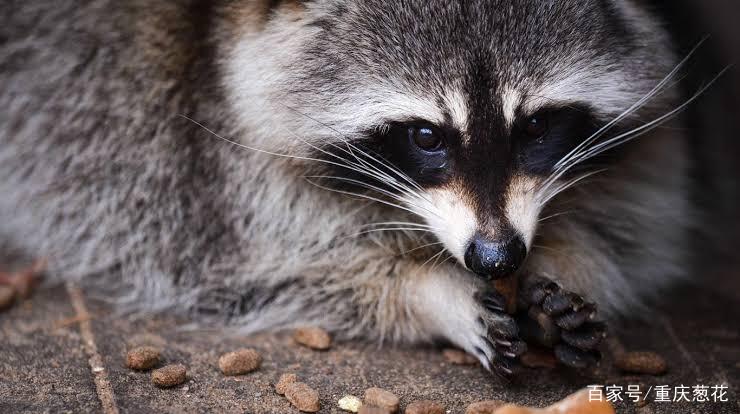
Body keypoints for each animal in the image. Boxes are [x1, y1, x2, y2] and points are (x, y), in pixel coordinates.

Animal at [2, 0, 692, 376]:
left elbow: (637, 220)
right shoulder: (180, 165)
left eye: (538, 127)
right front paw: (431, 291)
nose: (497, 258)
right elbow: (269, 270)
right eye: (425, 136)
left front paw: (567, 264)